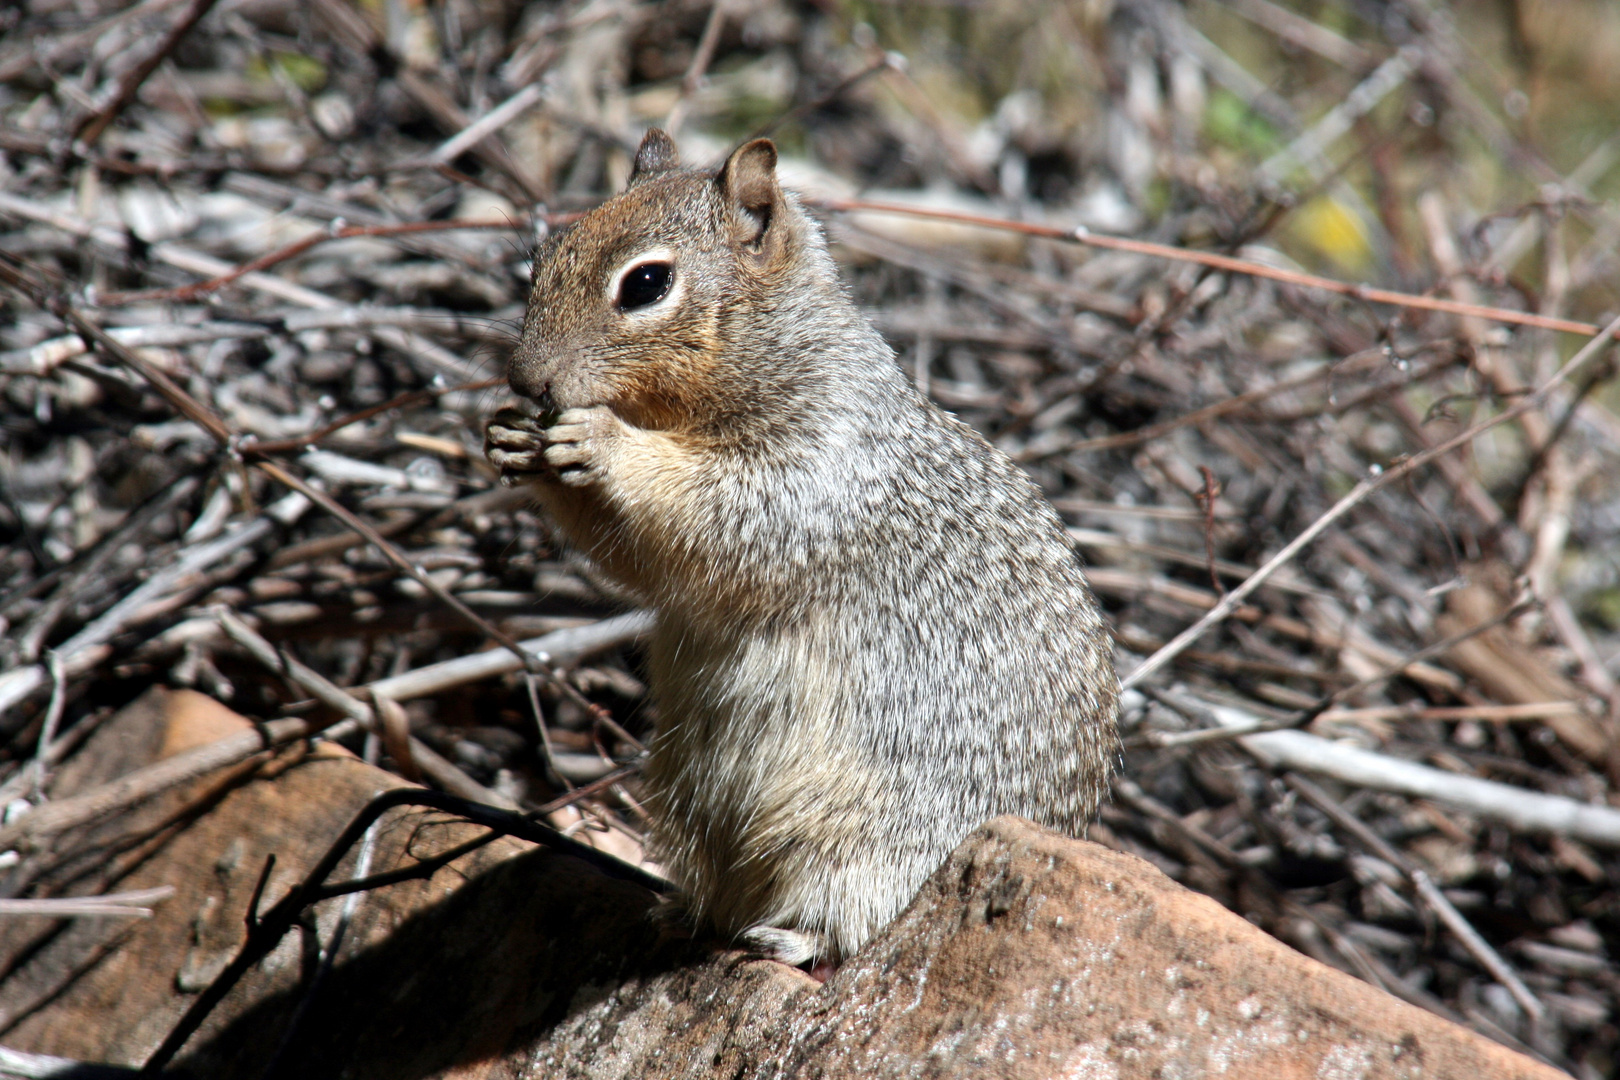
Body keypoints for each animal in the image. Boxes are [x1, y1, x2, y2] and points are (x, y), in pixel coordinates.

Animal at [479, 131, 1114, 965]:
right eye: (545, 256)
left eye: (646, 283)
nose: (526, 378)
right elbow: (637, 562)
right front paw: (512, 437)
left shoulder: (818, 456)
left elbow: (727, 508)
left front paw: (604, 439)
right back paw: (683, 914)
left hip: (854, 831)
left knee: (854, 923)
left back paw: (786, 936)